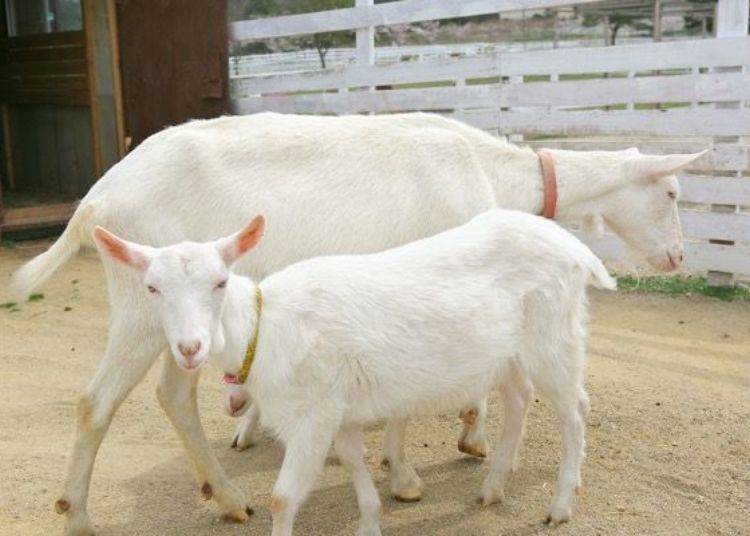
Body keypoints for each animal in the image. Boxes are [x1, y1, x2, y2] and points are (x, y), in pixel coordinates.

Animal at [89, 210, 616, 536]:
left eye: (220, 282)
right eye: (152, 288)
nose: (189, 347)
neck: (266, 325)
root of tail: (575, 248)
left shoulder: (313, 416)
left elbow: (282, 498)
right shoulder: (338, 411)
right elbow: (354, 462)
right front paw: (370, 520)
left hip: (553, 337)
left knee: (575, 409)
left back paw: (560, 505)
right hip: (509, 353)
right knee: (519, 399)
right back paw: (492, 488)